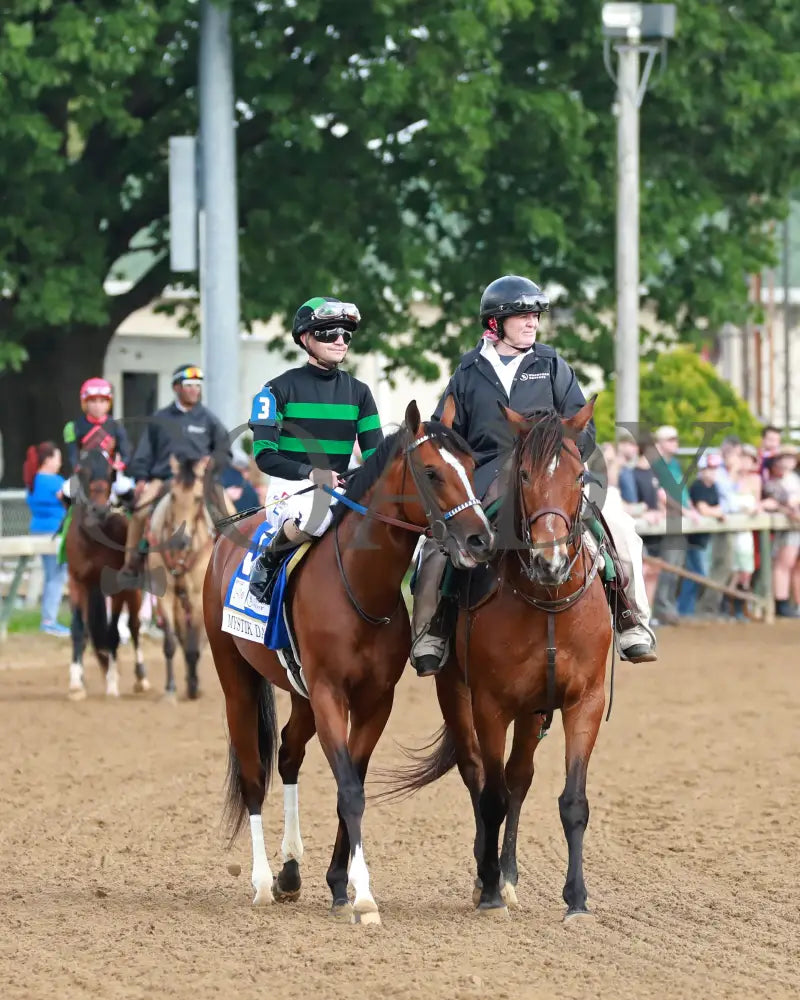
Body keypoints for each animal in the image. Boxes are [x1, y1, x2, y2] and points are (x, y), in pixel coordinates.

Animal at [63, 450, 148, 700]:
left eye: (111, 472)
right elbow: (78, 629)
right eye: (82, 471)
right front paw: (76, 683)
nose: (99, 510)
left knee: (134, 625)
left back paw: (140, 677)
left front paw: (111, 682)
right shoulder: (77, 580)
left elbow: (113, 632)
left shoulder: (117, 584)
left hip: (133, 588)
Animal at [205, 398, 494, 920]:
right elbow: (350, 789)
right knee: (254, 773)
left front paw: (340, 886)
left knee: (289, 753)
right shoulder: (328, 693)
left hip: (298, 692)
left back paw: (290, 871)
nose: (481, 540)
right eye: (431, 472)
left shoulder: (375, 699)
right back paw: (262, 882)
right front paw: (363, 894)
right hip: (235, 679)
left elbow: (349, 786)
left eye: (472, 465)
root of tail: (226, 533)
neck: (359, 585)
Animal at [388, 398, 612, 920]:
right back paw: (486, 874)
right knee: (477, 776)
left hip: (533, 712)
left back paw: (506, 872)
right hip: (456, 694)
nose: (551, 559)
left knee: (519, 779)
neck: (546, 599)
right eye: (524, 475)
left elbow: (570, 800)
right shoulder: (490, 705)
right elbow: (490, 795)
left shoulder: (584, 702)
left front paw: (576, 899)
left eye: (578, 475)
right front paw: (488, 889)